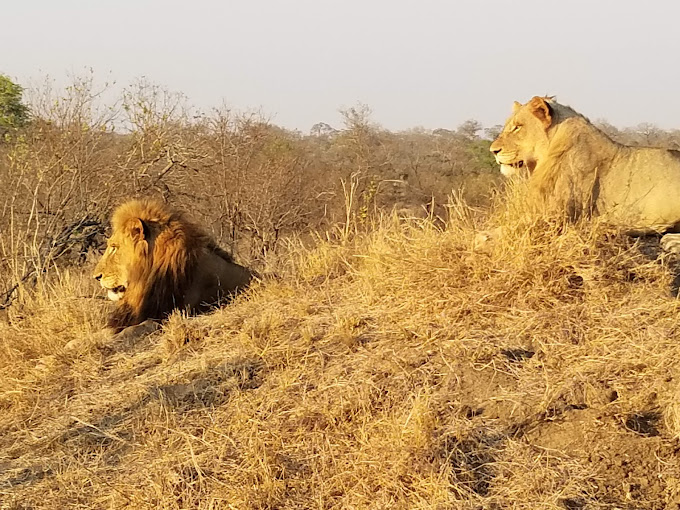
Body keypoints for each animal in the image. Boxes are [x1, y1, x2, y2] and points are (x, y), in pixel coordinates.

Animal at [488, 96, 680, 251]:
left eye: (517, 127)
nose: (493, 151)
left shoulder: (559, 217)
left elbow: (512, 229)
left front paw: (485, 237)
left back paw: (671, 241)